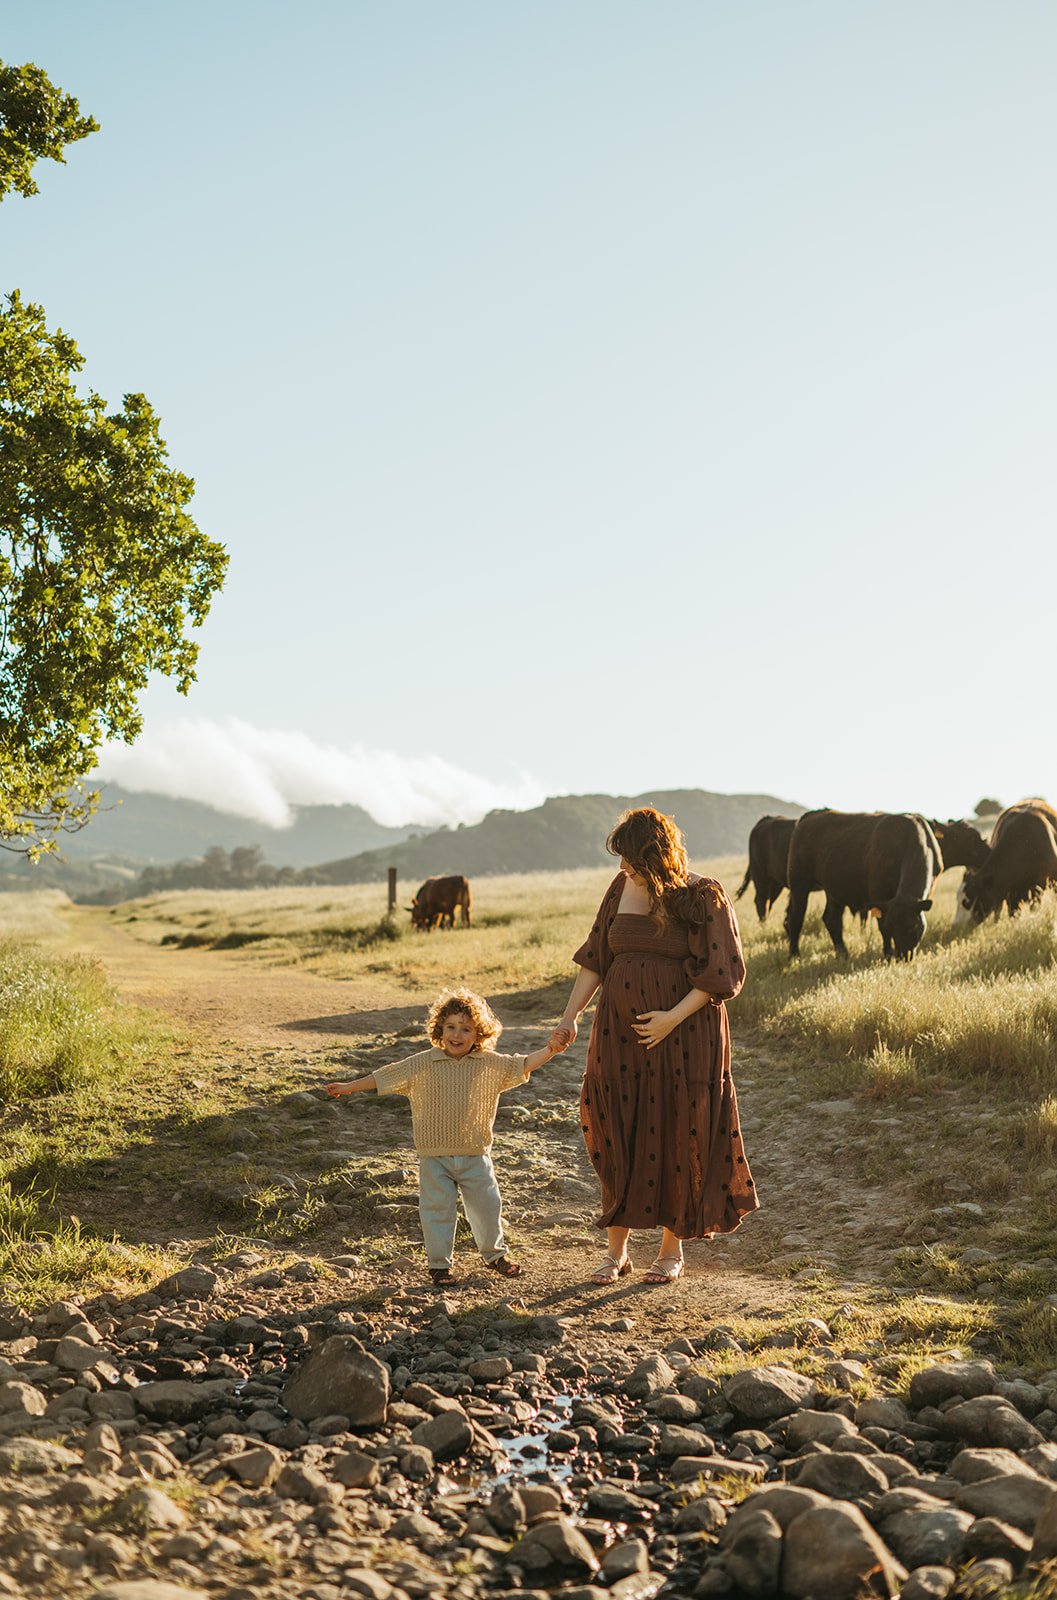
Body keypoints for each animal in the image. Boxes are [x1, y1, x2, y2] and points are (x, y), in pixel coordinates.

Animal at [783, 812, 940, 960]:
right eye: (891, 926)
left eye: (913, 926)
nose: (903, 955)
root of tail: (808, 817)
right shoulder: (879, 895)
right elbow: (882, 927)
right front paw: (888, 954)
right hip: (799, 885)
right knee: (796, 918)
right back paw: (794, 954)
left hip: (834, 890)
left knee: (832, 919)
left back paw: (843, 953)